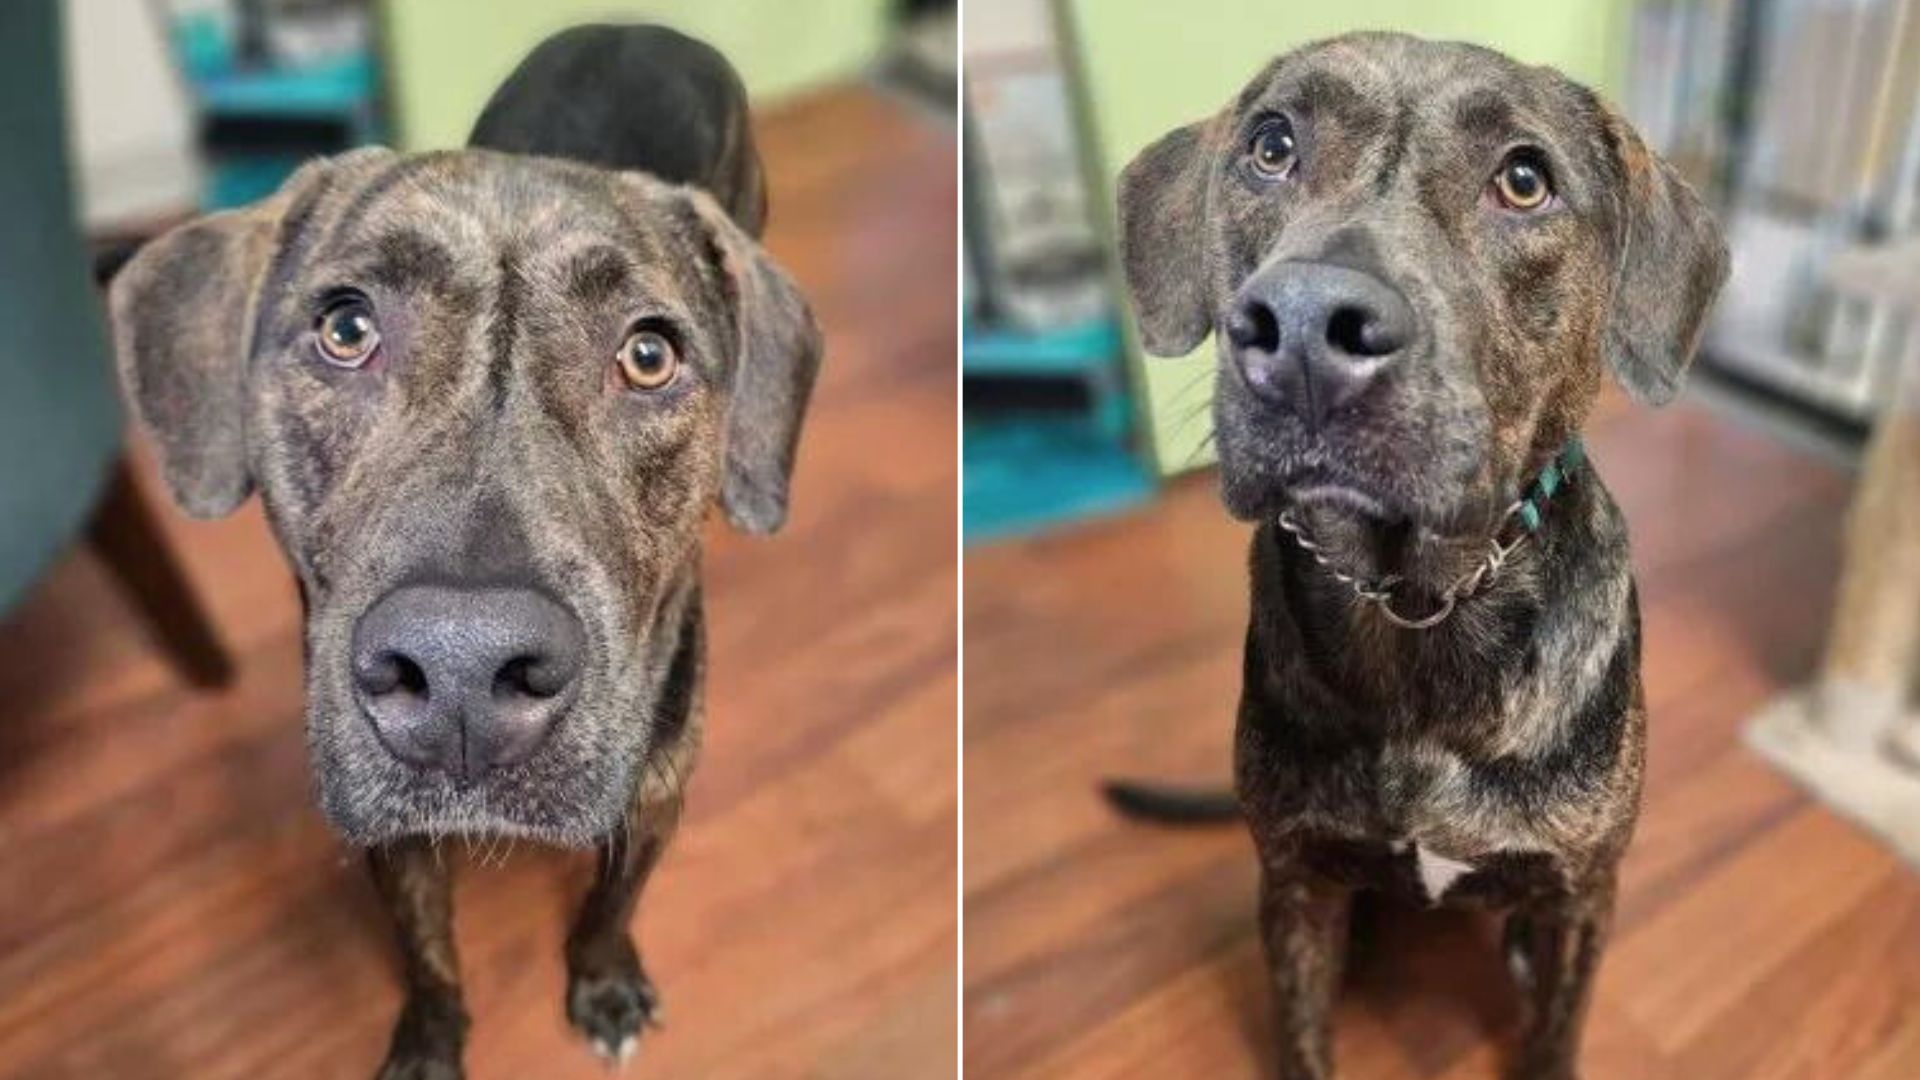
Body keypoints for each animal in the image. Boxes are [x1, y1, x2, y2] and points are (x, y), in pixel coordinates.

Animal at [107, 25, 817, 1076]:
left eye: (649, 355)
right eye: (346, 328)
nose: (463, 669)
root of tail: (646, 26)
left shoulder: (653, 795)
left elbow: (612, 904)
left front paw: (603, 981)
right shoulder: (394, 838)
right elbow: (426, 948)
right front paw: (431, 1040)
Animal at [1113, 33, 1728, 1076]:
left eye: (1524, 180)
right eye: (1271, 146)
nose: (1305, 327)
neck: (1415, 599)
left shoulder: (1582, 895)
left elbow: (1555, 1030)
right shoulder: (1297, 885)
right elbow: (1303, 1035)